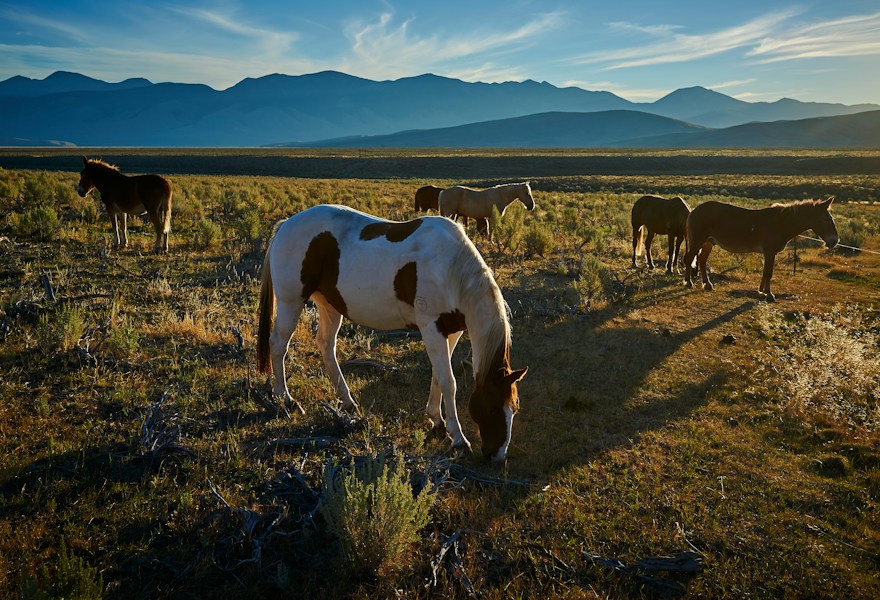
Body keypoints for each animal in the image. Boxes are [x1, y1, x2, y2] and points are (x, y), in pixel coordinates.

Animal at [256, 204, 528, 461]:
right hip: (291, 302)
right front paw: (459, 438)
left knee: (326, 345)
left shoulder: (451, 332)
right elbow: (449, 382)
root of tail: (285, 224)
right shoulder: (431, 327)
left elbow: (438, 376)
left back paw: (347, 401)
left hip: (330, 305)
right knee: (278, 344)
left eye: (514, 408)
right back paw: (286, 400)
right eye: (491, 408)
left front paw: (436, 420)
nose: (497, 456)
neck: (451, 269)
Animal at [682, 198, 838, 301]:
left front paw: (761, 291)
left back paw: (707, 284)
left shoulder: (768, 253)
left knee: (701, 261)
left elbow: (765, 272)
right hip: (698, 240)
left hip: (708, 242)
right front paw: (769, 294)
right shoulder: (769, 251)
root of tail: (694, 210)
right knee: (689, 259)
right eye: (826, 219)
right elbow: (768, 272)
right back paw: (689, 282)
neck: (781, 222)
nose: (835, 241)